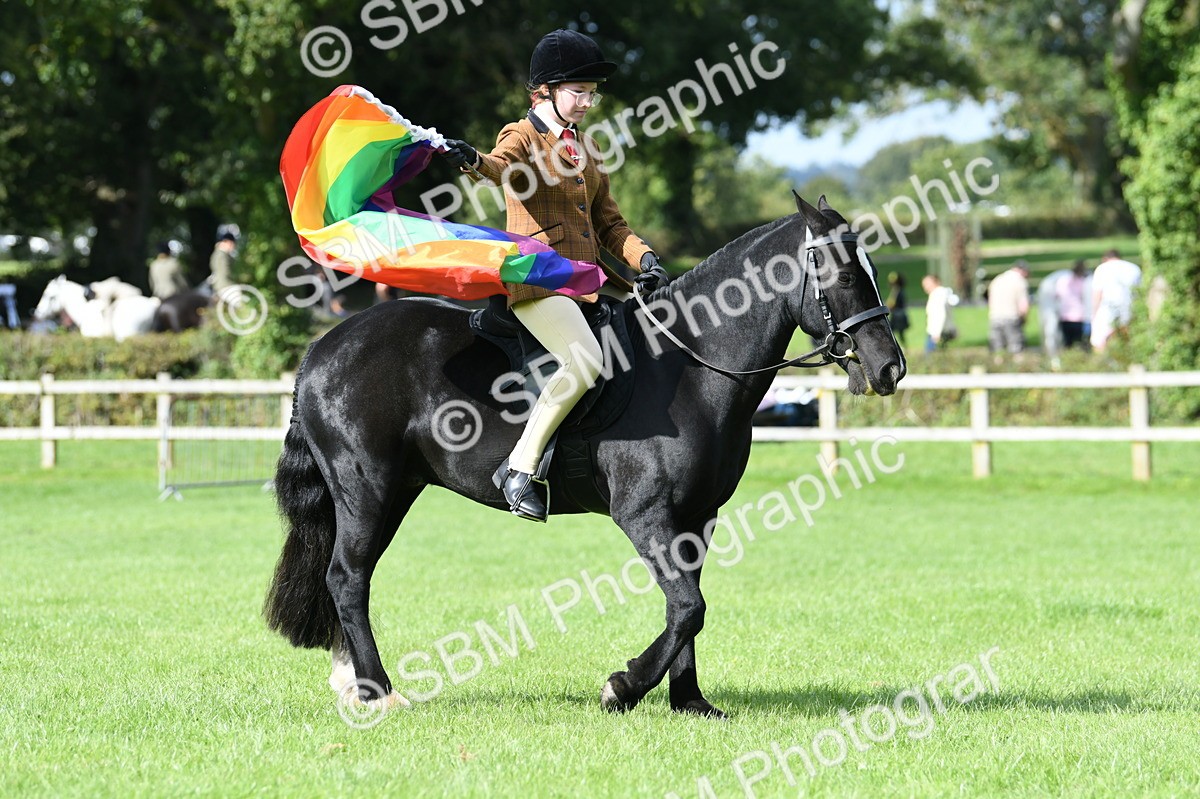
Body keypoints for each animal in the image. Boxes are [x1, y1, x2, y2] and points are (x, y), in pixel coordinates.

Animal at [264, 194, 906, 718]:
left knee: (351, 575)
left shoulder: (697, 517)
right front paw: (624, 686)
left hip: (393, 490)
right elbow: (688, 606)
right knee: (347, 578)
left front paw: (690, 702)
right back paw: (376, 691)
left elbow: (688, 607)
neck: (689, 363)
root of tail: (324, 347)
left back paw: (352, 683)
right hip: (366, 487)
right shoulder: (645, 514)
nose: (889, 369)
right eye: (846, 273)